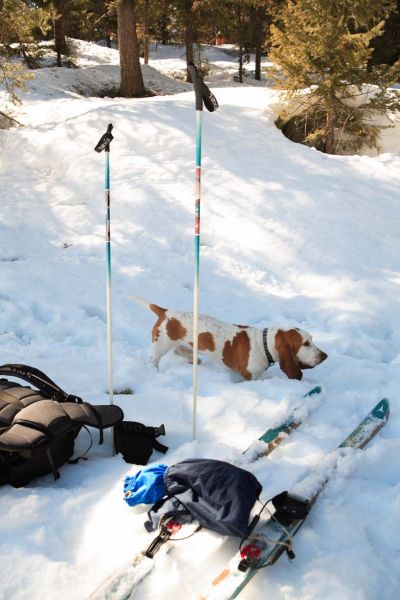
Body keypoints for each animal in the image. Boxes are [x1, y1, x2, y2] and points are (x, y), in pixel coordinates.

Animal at [131, 296, 328, 380]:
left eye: (312, 339)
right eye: (306, 344)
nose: (325, 356)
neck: (263, 344)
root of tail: (165, 311)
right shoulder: (250, 376)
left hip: (184, 345)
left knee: (181, 351)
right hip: (160, 346)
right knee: (154, 360)